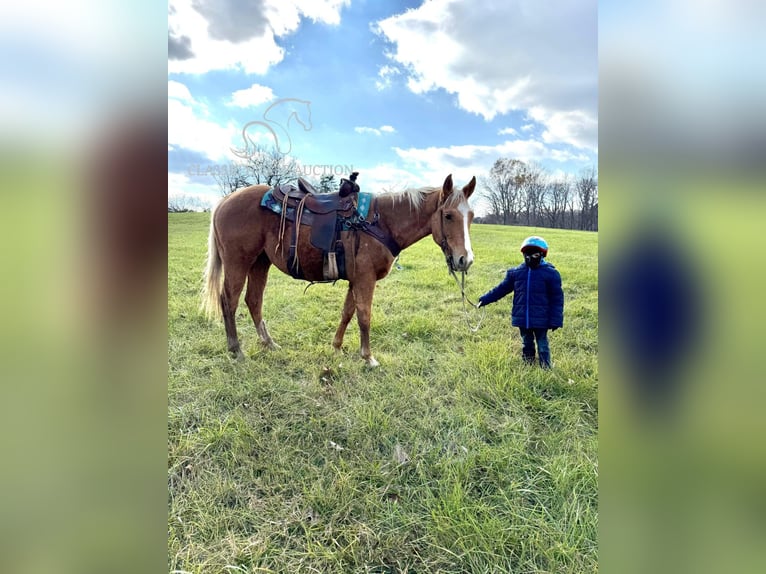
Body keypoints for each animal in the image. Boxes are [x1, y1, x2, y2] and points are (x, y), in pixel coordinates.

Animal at [201, 173, 476, 366]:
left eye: (471, 216)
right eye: (448, 215)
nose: (465, 260)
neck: (380, 221)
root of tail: (225, 201)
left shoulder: (356, 279)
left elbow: (347, 312)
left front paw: (336, 346)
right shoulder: (365, 279)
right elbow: (364, 315)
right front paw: (368, 357)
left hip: (260, 263)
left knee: (253, 301)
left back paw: (269, 343)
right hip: (238, 262)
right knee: (229, 301)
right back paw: (236, 350)